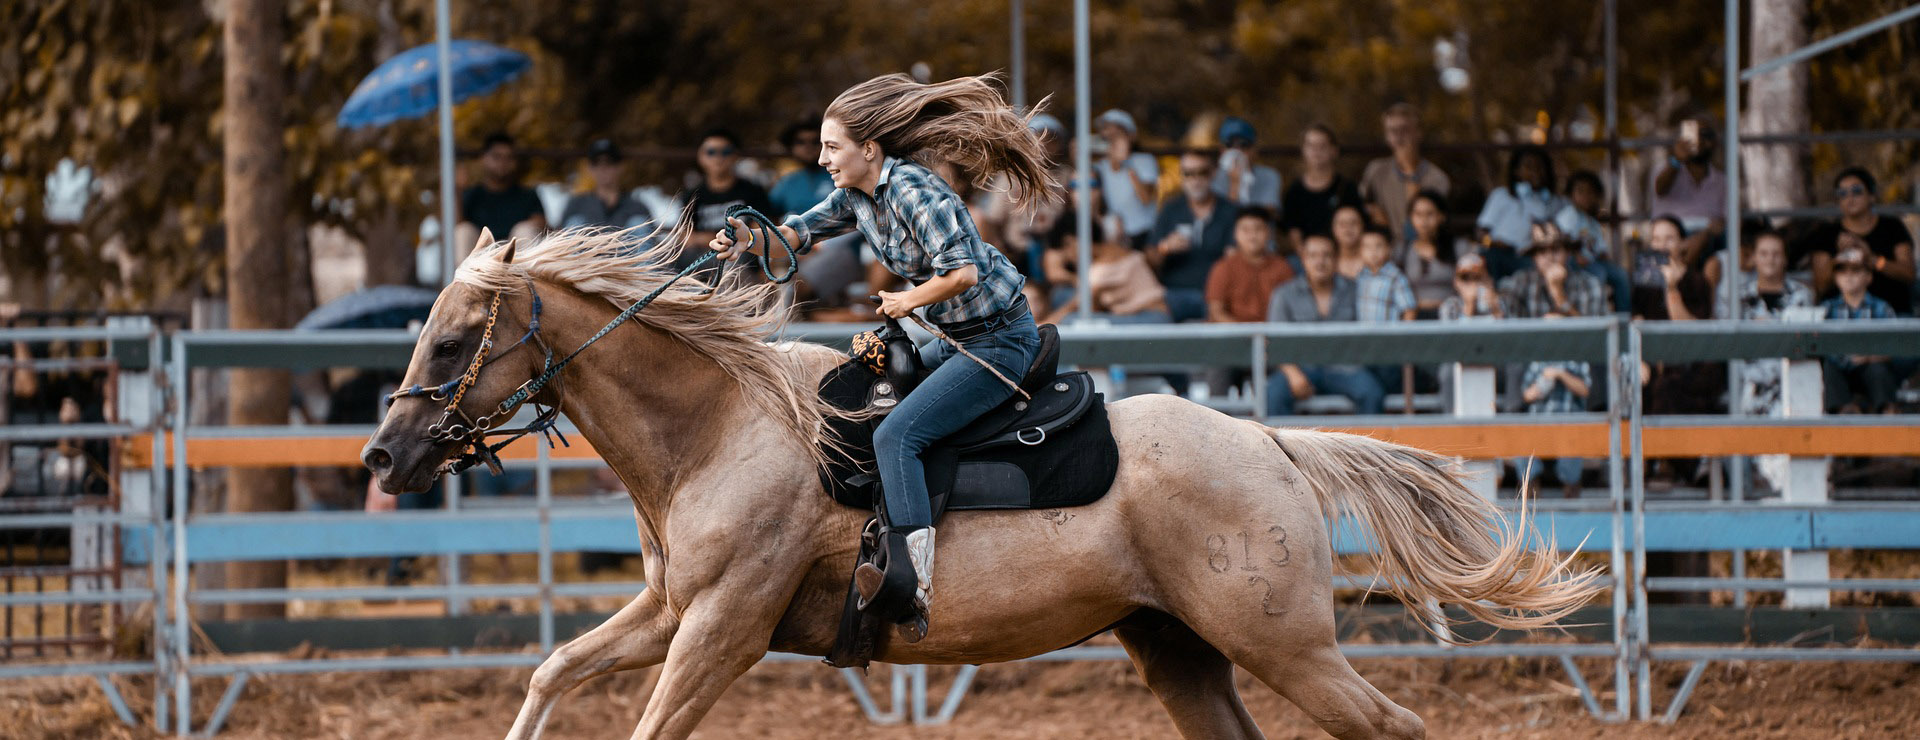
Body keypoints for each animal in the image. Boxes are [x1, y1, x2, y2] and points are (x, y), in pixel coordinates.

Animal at [362, 226, 1600, 740]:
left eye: (455, 334)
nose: (383, 457)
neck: (722, 425)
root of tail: (1271, 443)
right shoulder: (670, 607)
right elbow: (550, 671)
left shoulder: (722, 624)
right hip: (1178, 648)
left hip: (1282, 641)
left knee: (1394, 722)